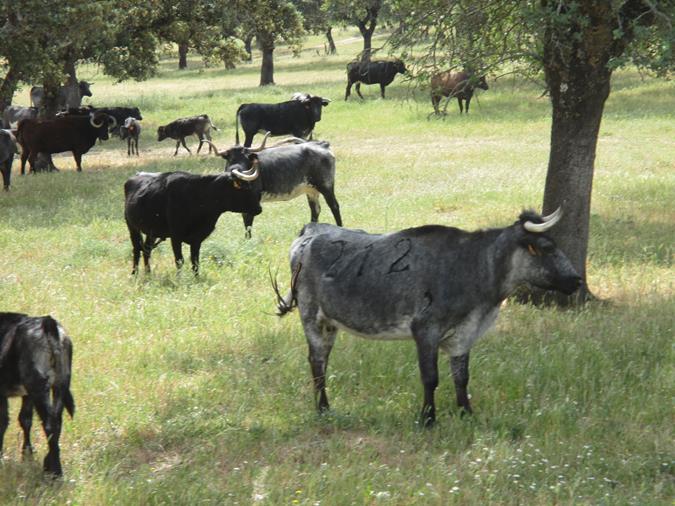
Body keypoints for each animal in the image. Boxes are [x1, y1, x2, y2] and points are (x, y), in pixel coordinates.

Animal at [0, 310, 75, 476]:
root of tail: (48, 324)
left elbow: (3, 421)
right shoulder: (26, 394)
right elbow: (25, 419)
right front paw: (27, 455)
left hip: (38, 385)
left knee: (49, 424)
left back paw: (55, 471)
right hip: (60, 383)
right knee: (57, 422)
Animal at [272, 210, 584, 426]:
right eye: (546, 248)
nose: (577, 279)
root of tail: (312, 229)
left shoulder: (463, 335)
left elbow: (462, 377)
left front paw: (466, 413)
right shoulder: (425, 329)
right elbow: (430, 377)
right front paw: (428, 419)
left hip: (330, 322)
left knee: (323, 360)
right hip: (311, 315)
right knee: (317, 362)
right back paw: (323, 409)